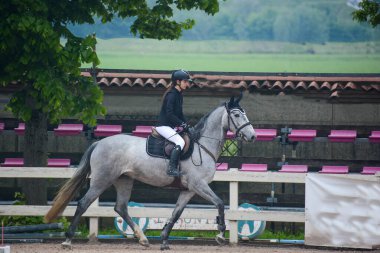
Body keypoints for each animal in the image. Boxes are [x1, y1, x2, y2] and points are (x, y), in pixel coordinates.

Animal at [46, 94, 256, 250]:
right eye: (237, 115)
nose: (252, 136)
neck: (202, 146)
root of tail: (99, 143)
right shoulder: (198, 185)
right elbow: (219, 203)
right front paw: (220, 234)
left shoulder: (188, 190)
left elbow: (176, 214)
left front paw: (164, 241)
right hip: (101, 180)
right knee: (84, 203)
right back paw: (67, 240)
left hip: (124, 180)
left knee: (120, 207)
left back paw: (143, 239)